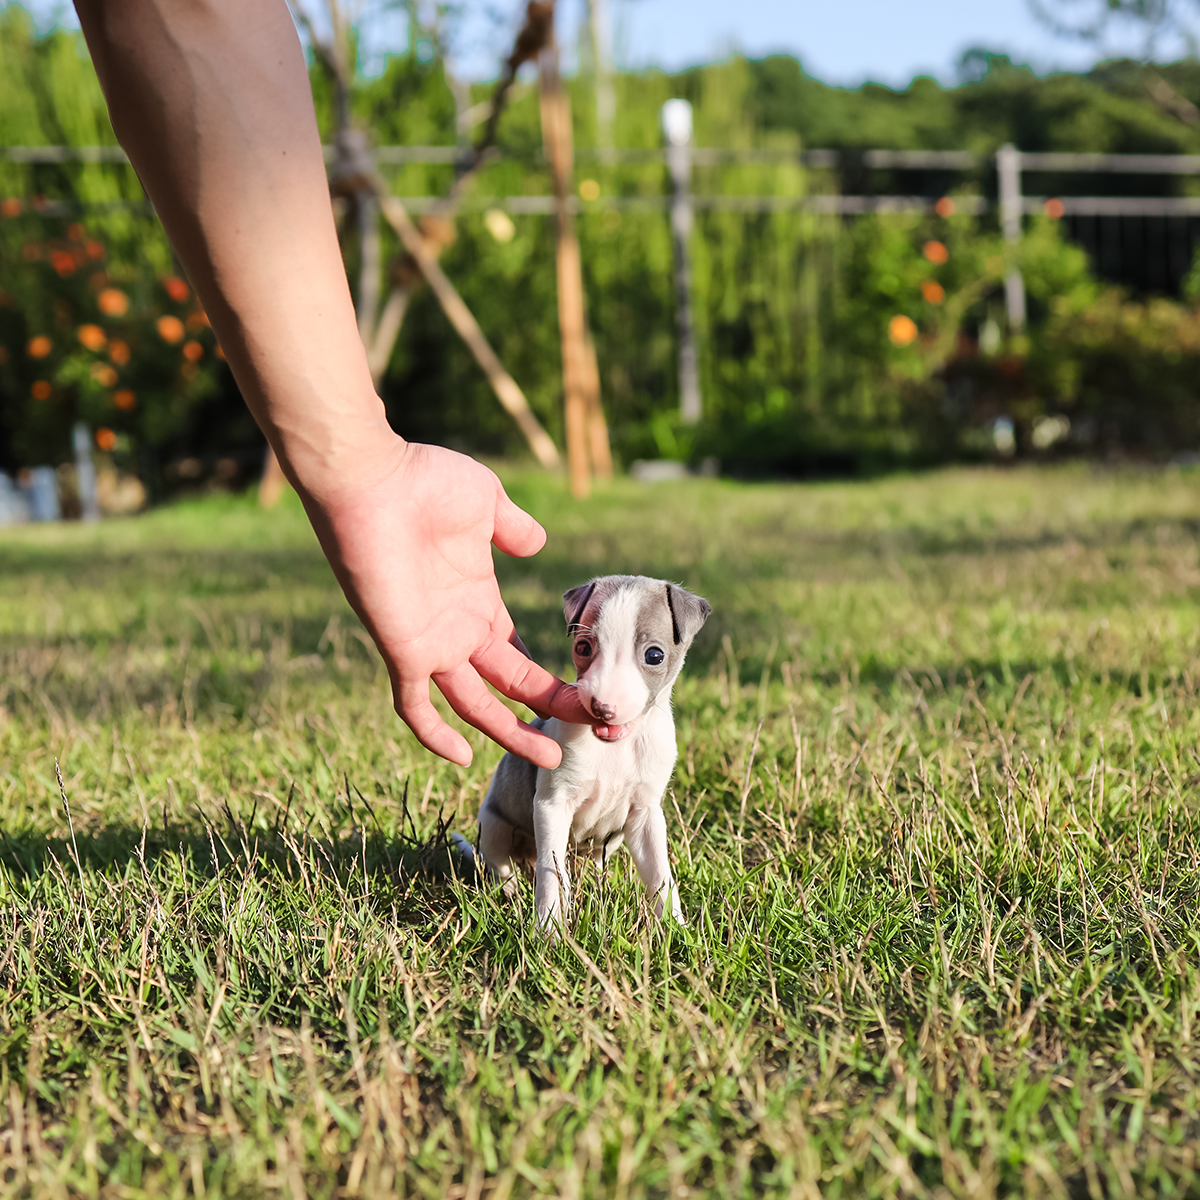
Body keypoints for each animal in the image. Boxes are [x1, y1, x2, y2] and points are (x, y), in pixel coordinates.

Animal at [453, 576, 705, 931]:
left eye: (655, 655)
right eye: (583, 647)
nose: (602, 708)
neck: (617, 748)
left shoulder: (645, 814)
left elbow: (660, 875)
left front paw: (676, 929)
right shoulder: (553, 805)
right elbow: (552, 874)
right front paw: (549, 931)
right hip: (493, 827)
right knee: (503, 867)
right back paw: (510, 891)